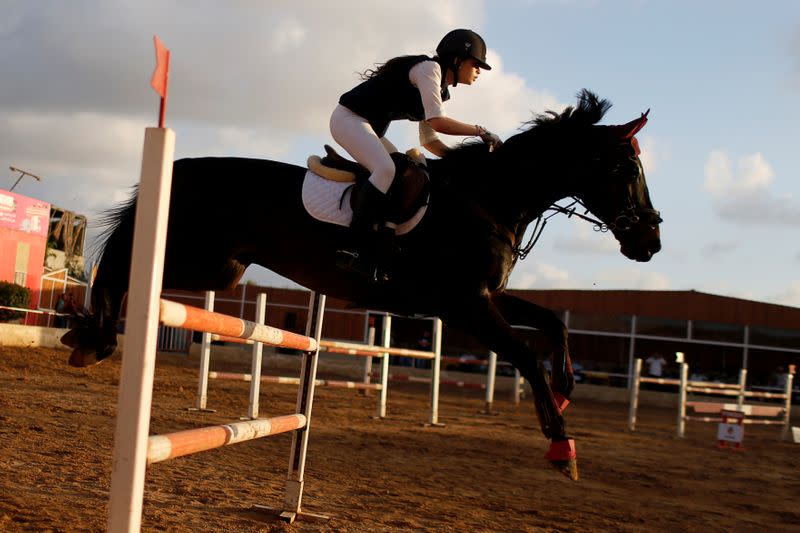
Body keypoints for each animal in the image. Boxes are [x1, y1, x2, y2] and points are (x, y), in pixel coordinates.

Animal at [62, 90, 664, 478]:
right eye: (624, 169)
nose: (650, 242)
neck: (485, 201)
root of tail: (184, 165)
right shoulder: (465, 304)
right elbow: (523, 354)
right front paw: (561, 446)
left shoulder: (480, 299)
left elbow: (551, 323)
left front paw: (563, 394)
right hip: (203, 259)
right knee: (120, 263)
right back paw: (92, 337)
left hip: (221, 267)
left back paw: (88, 334)